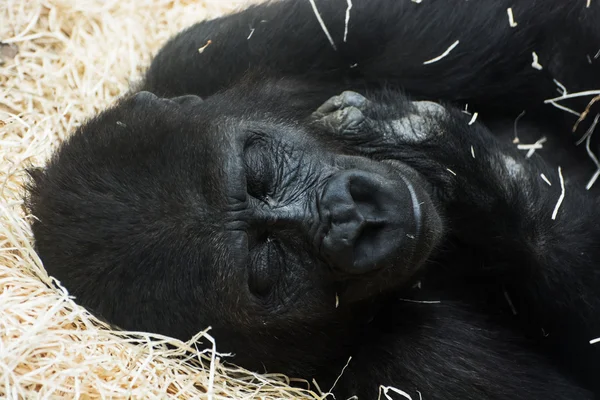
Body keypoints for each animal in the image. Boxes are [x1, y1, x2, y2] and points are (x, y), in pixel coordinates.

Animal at [27, 0, 600, 398]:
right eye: (266, 264)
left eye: (257, 170)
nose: (351, 216)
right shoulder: (418, 369)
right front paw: (458, 166)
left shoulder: (209, 53)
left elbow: (546, 36)